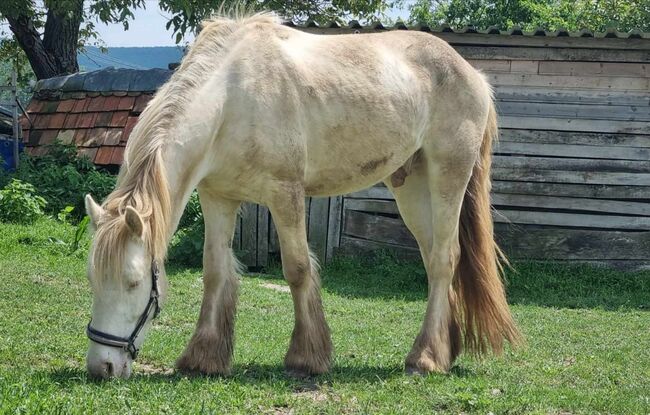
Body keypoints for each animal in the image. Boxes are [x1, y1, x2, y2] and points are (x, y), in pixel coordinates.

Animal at [83, 12, 520, 380]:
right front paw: (203, 358)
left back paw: (425, 358)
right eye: (92, 278)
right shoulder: (218, 198)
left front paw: (306, 357)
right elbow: (215, 271)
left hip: (448, 177)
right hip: (411, 187)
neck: (231, 95)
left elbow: (296, 269)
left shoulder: (285, 195)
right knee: (432, 261)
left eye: (133, 282)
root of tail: (473, 75)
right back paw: (444, 349)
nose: (102, 367)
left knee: (446, 260)